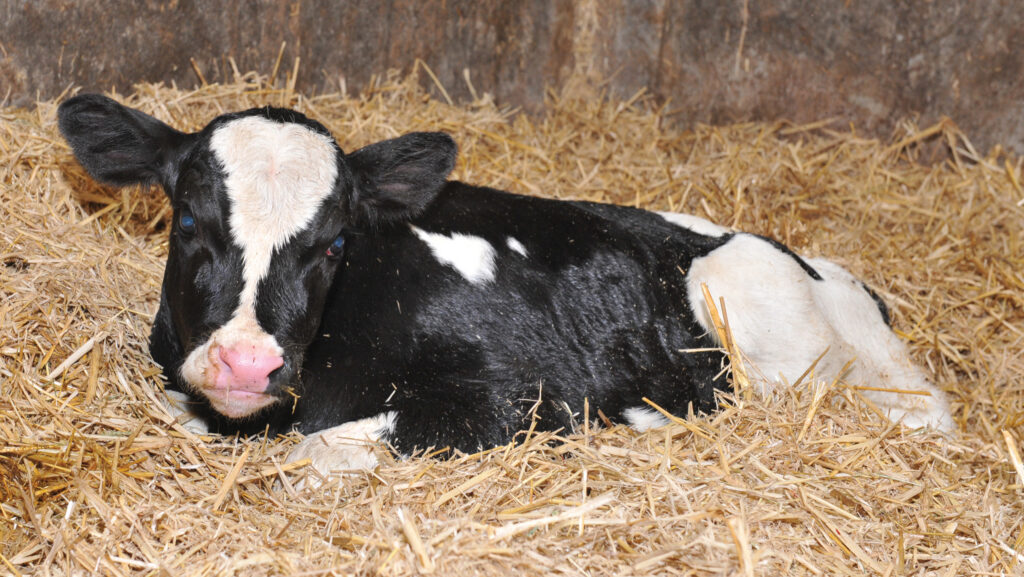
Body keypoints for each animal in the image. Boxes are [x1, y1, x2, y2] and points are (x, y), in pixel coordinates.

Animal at [58, 95, 953, 476]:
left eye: (335, 242)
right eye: (187, 221)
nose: (247, 363)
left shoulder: (518, 396)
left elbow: (319, 450)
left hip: (753, 295)